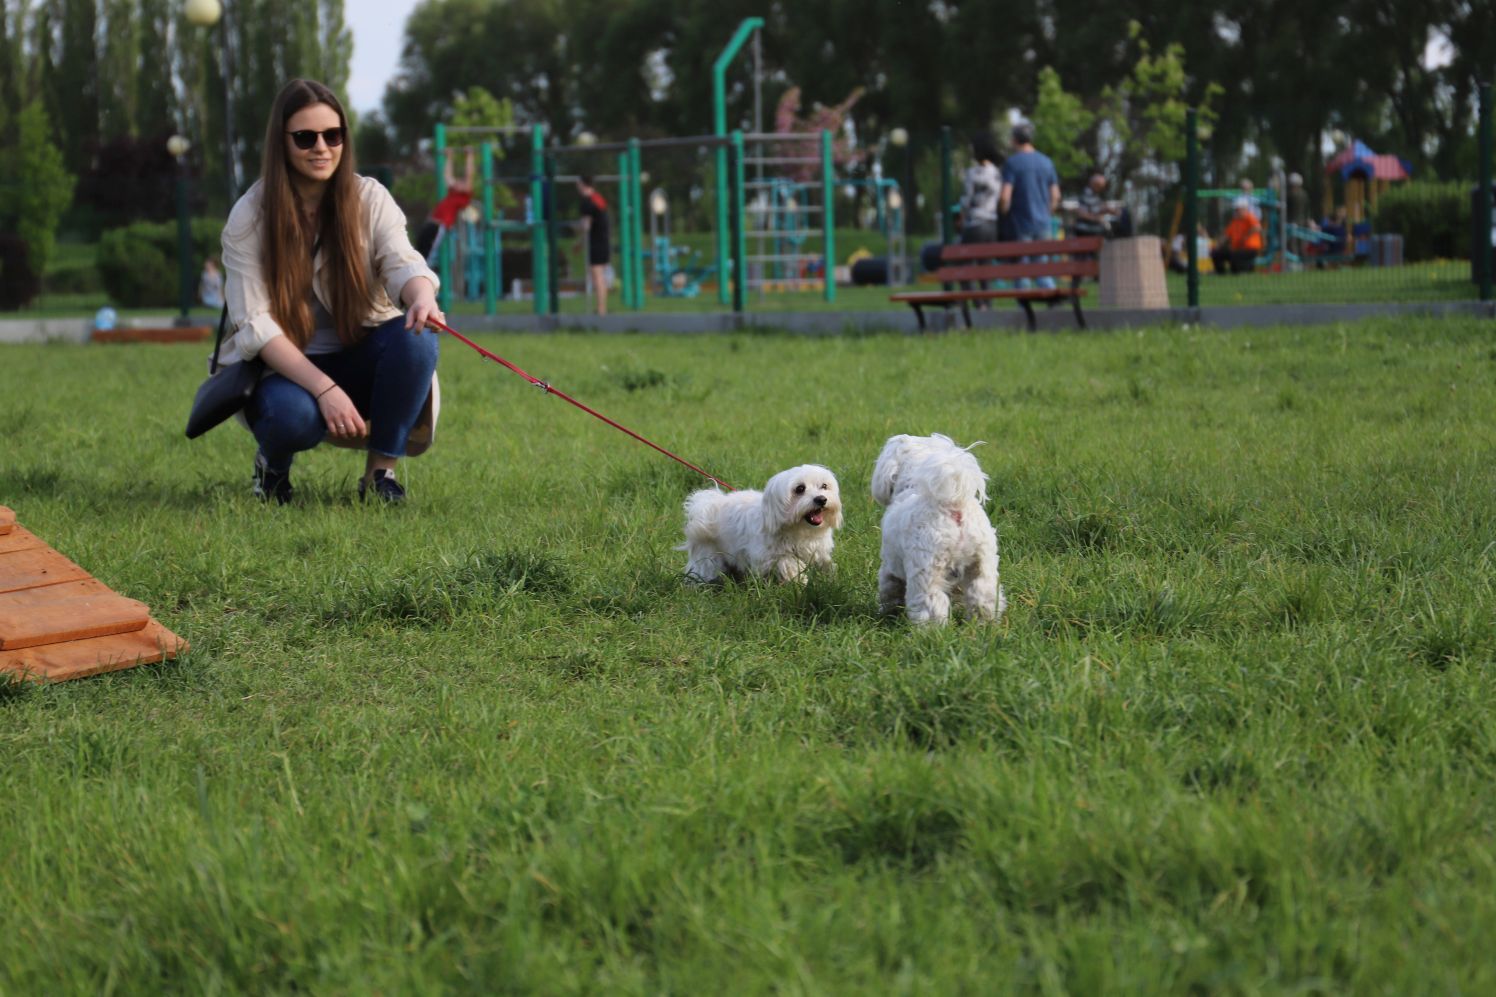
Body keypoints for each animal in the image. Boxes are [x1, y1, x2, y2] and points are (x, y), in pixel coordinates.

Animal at [679, 464, 843, 583]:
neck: (798, 530)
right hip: (708, 556)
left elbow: (825, 563)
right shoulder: (769, 557)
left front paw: (830, 578)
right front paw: (800, 580)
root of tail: (709, 504)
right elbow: (789, 563)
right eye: (800, 489)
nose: (821, 499)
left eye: (824, 486)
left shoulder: (818, 549)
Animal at [873, 434, 1005, 625]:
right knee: (984, 598)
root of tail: (953, 506)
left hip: (927, 569)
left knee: (931, 604)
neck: (912, 485)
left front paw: (886, 613)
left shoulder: (890, 565)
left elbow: (889, 590)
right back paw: (983, 624)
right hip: (982, 564)